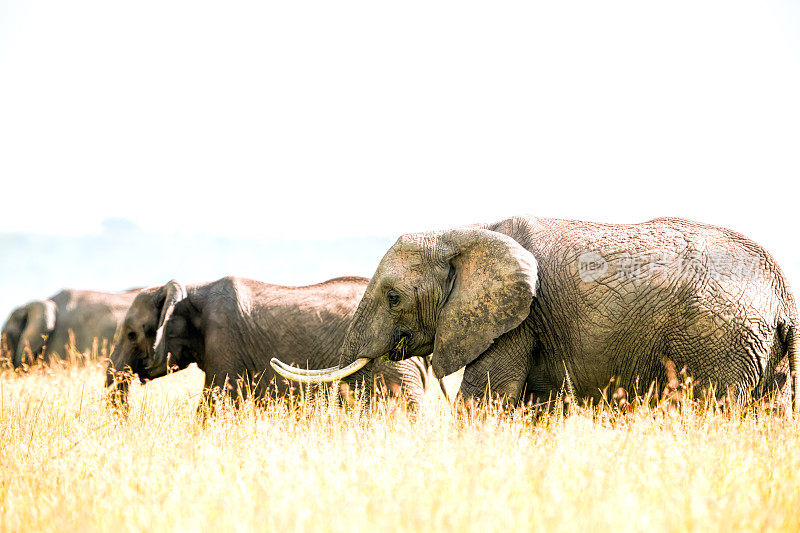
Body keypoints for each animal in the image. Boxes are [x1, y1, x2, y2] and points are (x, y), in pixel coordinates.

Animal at [274, 215, 800, 412]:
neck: (462, 233)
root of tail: (784, 298)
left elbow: (486, 399)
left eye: (393, 298)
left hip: (720, 340)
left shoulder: (517, 322)